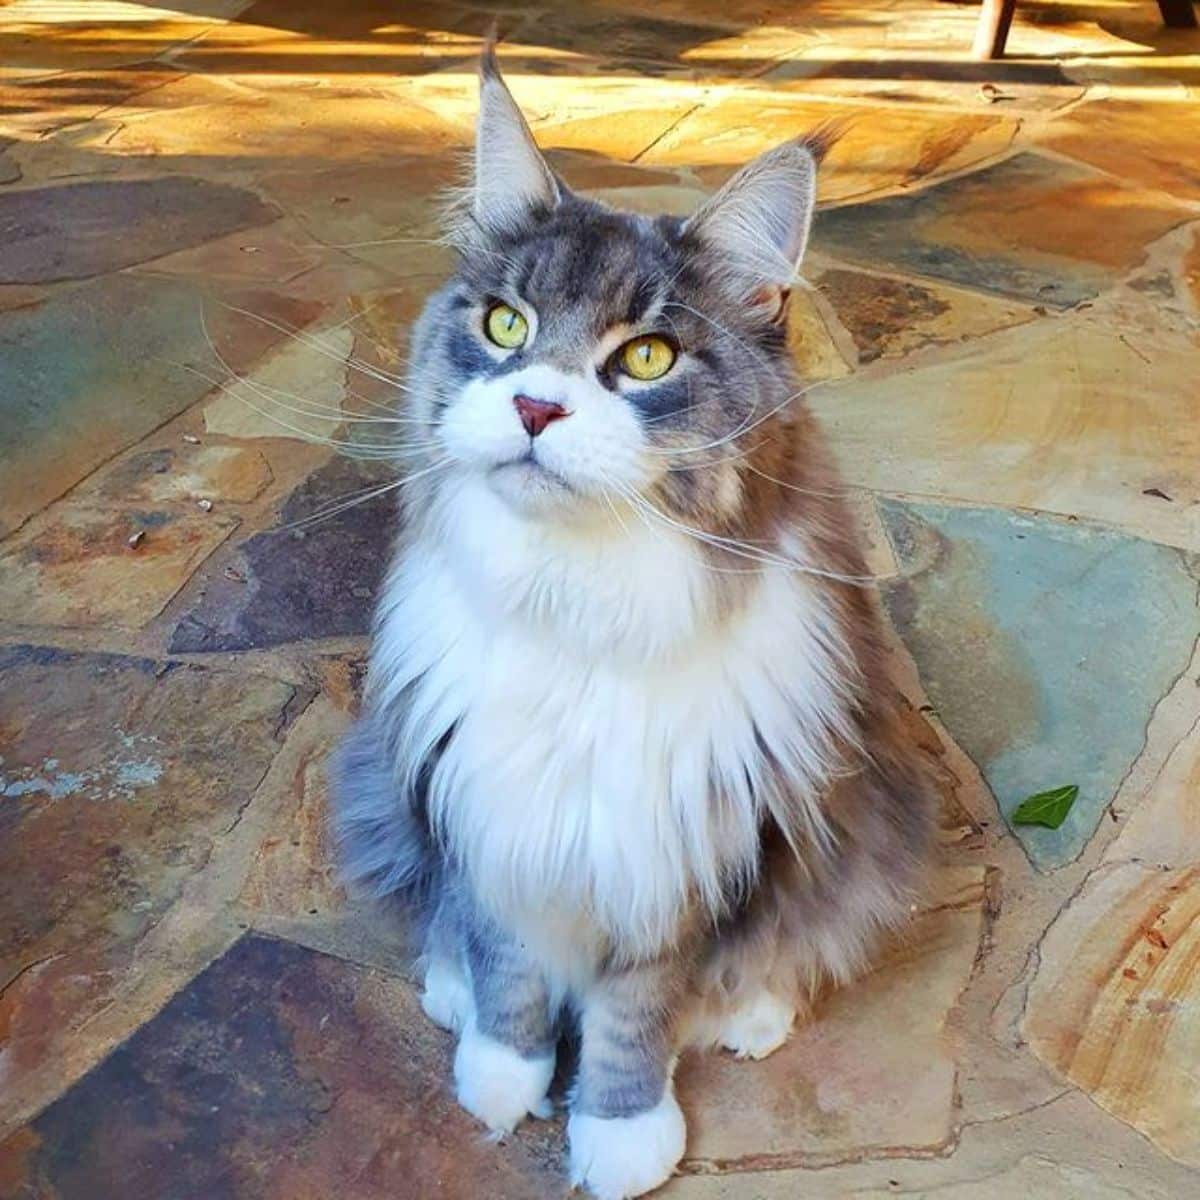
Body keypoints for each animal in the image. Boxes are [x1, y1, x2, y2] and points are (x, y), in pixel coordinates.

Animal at [331, 46, 936, 1200]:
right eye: (505, 327)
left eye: (647, 358)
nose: (535, 408)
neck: (576, 605)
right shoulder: (491, 807)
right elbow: (508, 968)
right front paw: (498, 1078)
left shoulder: (686, 845)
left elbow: (634, 1014)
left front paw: (619, 1139)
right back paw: (446, 986)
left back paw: (751, 1012)